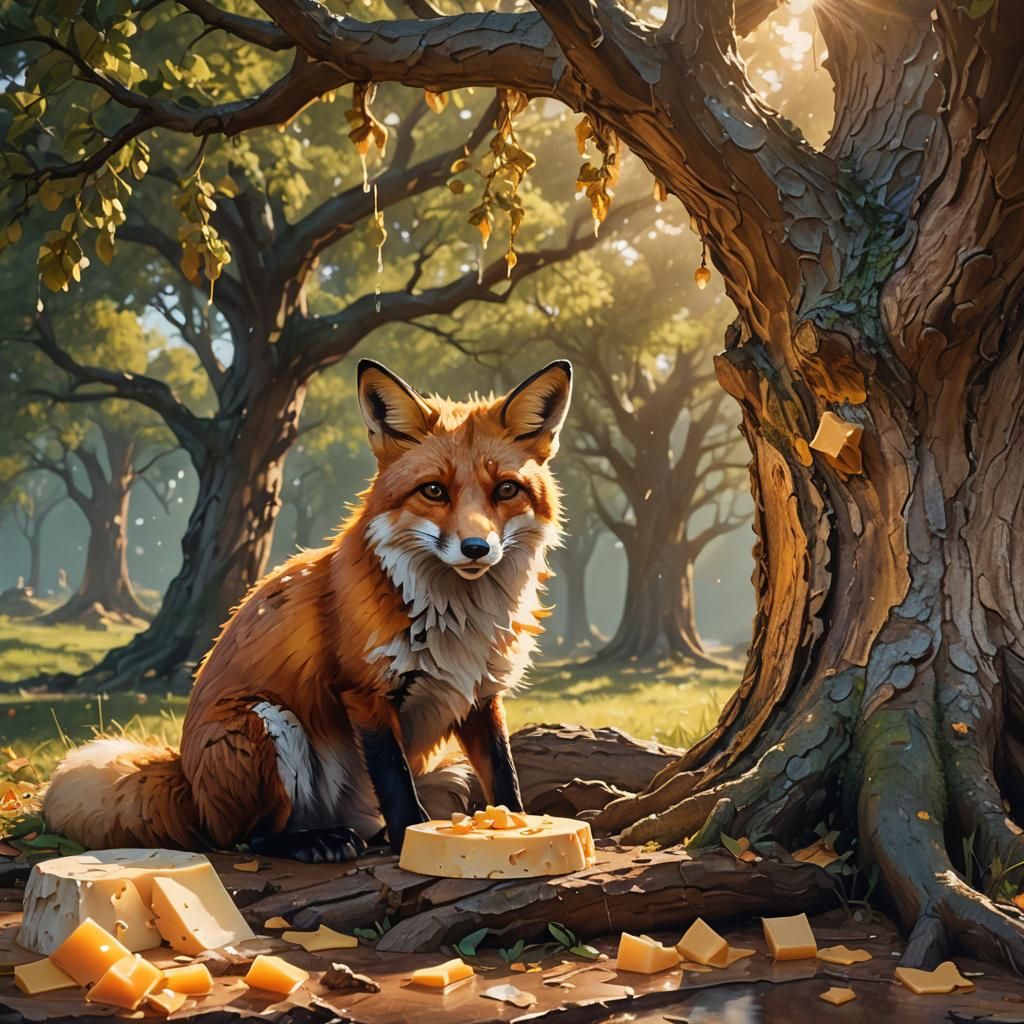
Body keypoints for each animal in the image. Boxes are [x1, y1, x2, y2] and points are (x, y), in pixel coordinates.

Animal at [42, 359, 572, 863]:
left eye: (506, 490)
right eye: (434, 491)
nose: (477, 548)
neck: (455, 620)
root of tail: (185, 778)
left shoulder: (480, 695)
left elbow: (504, 777)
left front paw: (522, 827)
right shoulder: (365, 692)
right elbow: (397, 783)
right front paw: (410, 839)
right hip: (264, 723)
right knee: (244, 837)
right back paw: (316, 841)